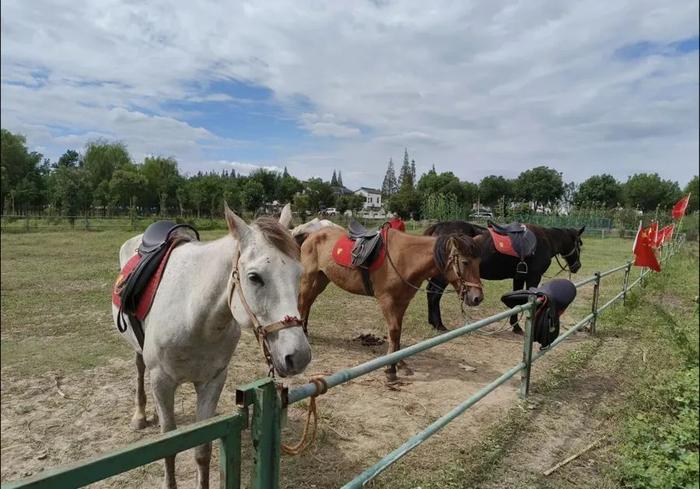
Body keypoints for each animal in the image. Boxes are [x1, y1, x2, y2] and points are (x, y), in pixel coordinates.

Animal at [111, 203, 308, 488]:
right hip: (138, 349)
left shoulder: (212, 381)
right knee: (139, 369)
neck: (194, 315)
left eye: (298, 274)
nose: (299, 356)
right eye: (254, 277)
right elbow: (168, 449)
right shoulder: (161, 381)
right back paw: (140, 415)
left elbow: (202, 449)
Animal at [298, 225, 484, 382]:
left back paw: (305, 330)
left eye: (479, 263)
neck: (406, 259)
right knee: (302, 302)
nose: (477, 298)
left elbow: (398, 333)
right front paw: (390, 369)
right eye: (465, 262)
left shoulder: (402, 302)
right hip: (309, 278)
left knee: (309, 302)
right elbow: (393, 331)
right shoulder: (387, 301)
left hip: (322, 279)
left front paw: (400, 364)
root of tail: (311, 235)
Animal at [424, 220, 584, 332]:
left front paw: (515, 326)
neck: (546, 240)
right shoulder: (533, 277)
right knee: (434, 294)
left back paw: (433, 322)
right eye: (580, 244)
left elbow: (516, 301)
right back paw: (439, 324)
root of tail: (438, 227)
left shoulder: (519, 277)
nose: (577, 266)